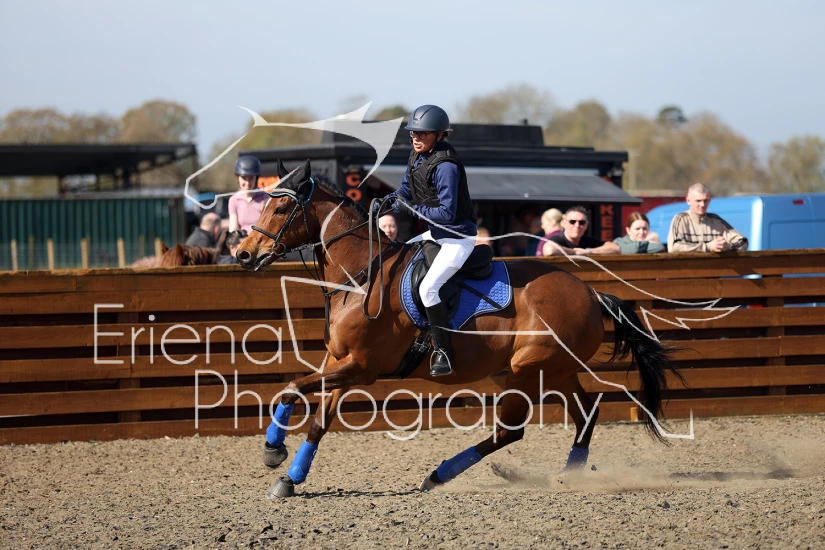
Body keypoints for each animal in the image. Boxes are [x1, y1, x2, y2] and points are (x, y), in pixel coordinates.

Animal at [236, 160, 682, 498]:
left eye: (280, 209)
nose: (242, 254)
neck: (361, 275)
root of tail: (589, 292)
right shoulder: (338, 363)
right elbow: (314, 415)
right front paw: (287, 473)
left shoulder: (360, 368)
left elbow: (292, 386)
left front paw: (273, 451)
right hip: (554, 371)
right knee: (584, 416)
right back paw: (566, 475)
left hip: (528, 371)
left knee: (510, 431)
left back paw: (440, 475)